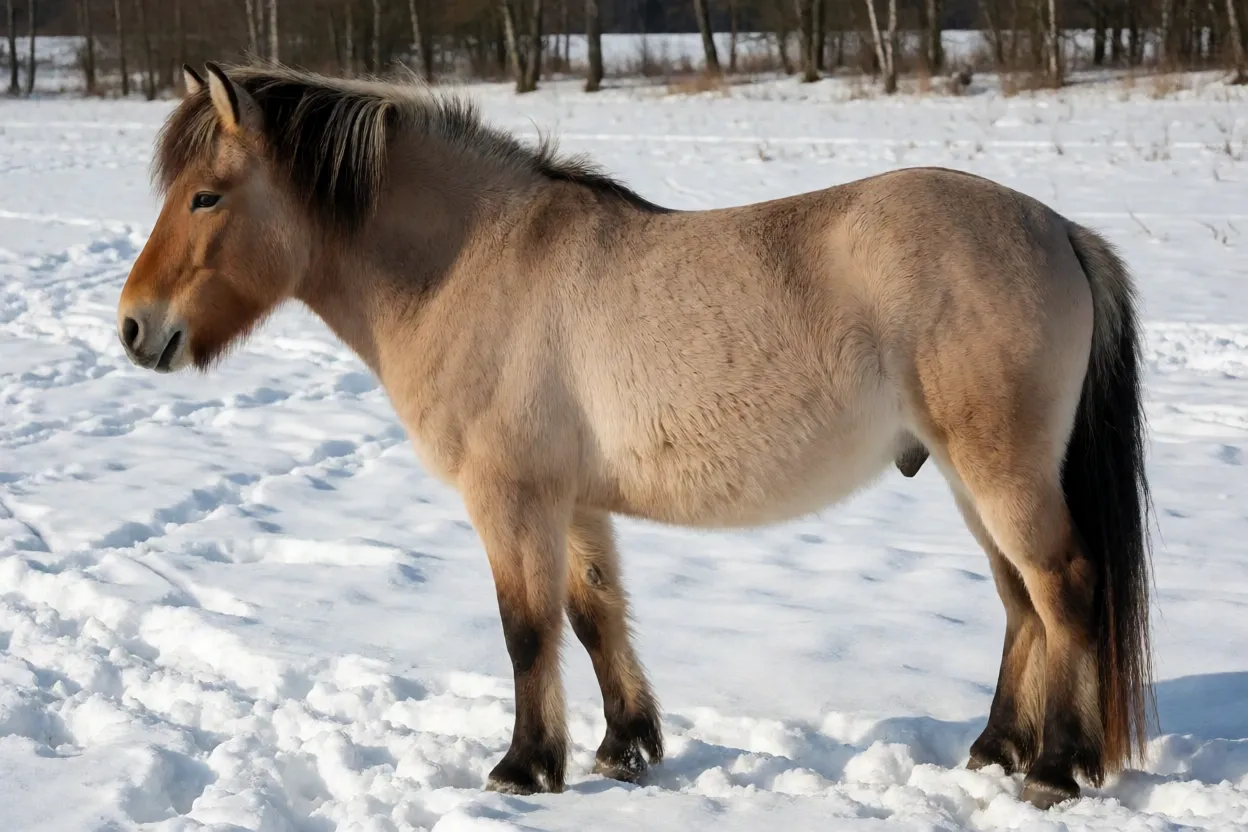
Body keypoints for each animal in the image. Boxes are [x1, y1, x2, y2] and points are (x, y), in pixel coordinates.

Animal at [116, 61, 1155, 809]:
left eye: (207, 195)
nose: (134, 328)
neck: (476, 262)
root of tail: (1060, 229)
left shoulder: (511, 500)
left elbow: (527, 631)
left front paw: (524, 767)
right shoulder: (573, 502)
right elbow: (594, 615)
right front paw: (625, 750)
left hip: (1001, 471)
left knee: (1064, 589)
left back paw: (1054, 770)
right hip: (967, 476)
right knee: (1022, 603)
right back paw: (994, 749)